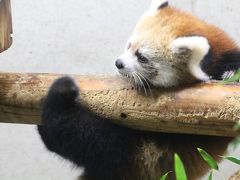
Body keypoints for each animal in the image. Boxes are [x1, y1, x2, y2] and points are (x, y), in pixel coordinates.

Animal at [38, 0, 239, 179]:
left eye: (142, 57)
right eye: (129, 45)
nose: (118, 63)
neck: (217, 59)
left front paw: (229, 75)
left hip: (135, 153)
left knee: (82, 137)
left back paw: (61, 95)